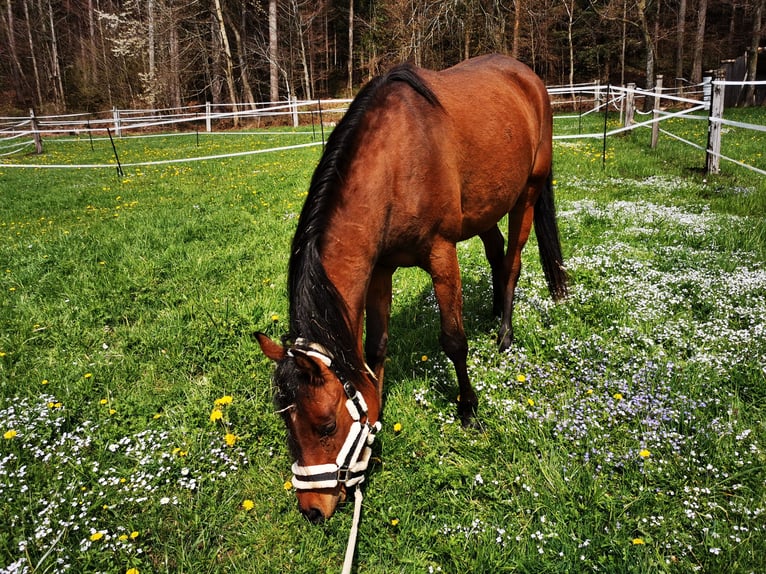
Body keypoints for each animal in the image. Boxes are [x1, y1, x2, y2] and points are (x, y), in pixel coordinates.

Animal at [255, 54, 568, 528]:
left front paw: (468, 409)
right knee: (496, 253)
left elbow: (453, 341)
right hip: (487, 206)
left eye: (326, 426)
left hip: (527, 194)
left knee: (512, 262)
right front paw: (377, 411)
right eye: (286, 424)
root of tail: (525, 74)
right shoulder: (381, 268)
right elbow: (376, 347)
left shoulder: (442, 255)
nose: (313, 510)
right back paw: (495, 310)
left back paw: (504, 334)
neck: (397, 160)